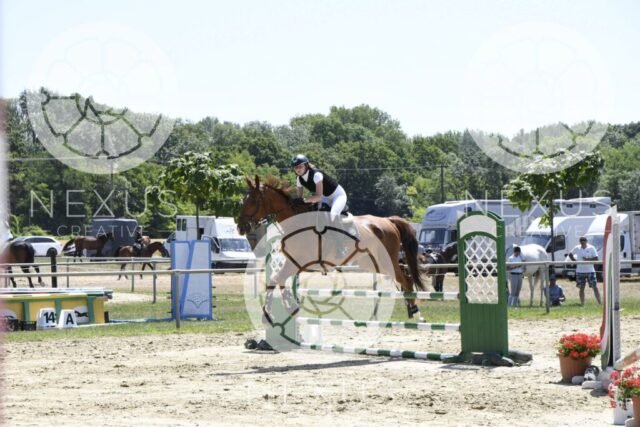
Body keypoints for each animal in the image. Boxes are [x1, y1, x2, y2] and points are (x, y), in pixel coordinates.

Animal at [237, 175, 426, 323]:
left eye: (253, 201)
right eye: (243, 200)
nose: (241, 227)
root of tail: (388, 221)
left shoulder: (300, 263)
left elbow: (278, 279)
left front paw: (281, 309)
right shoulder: (293, 262)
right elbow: (276, 280)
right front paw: (281, 309)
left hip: (385, 261)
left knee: (405, 278)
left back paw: (417, 314)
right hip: (373, 263)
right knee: (404, 275)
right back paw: (411, 309)